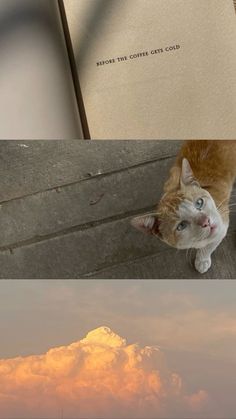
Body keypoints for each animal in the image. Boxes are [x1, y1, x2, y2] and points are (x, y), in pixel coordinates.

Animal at [131, 139, 236, 274]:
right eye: (181, 226)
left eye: (199, 202)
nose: (206, 221)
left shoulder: (222, 222)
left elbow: (210, 245)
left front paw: (202, 260)